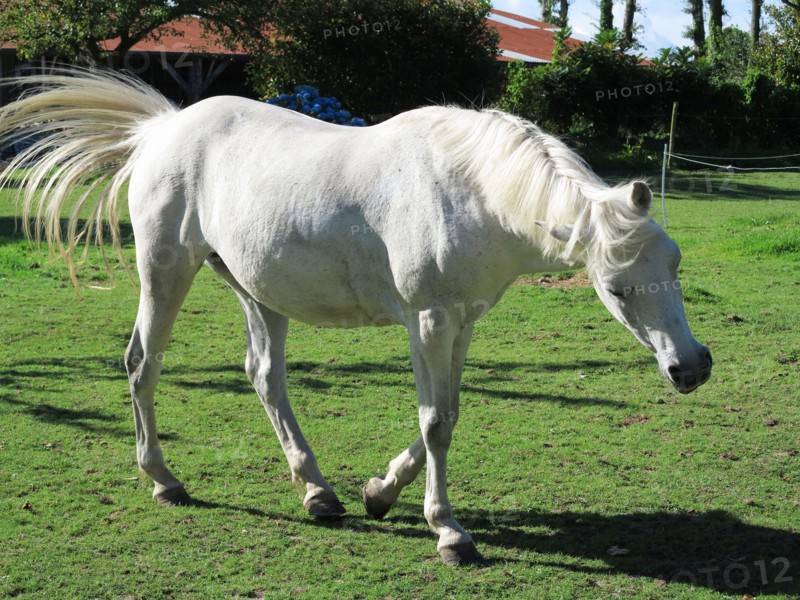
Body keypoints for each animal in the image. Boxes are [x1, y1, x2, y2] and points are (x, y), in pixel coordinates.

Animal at [0, 68, 712, 566]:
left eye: (675, 263)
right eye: (617, 288)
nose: (691, 368)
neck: (469, 192)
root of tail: (163, 129)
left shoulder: (463, 321)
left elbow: (448, 413)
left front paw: (381, 493)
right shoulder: (429, 321)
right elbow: (436, 423)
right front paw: (449, 532)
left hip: (257, 291)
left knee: (265, 378)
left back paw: (317, 492)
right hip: (165, 272)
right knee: (143, 364)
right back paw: (164, 481)